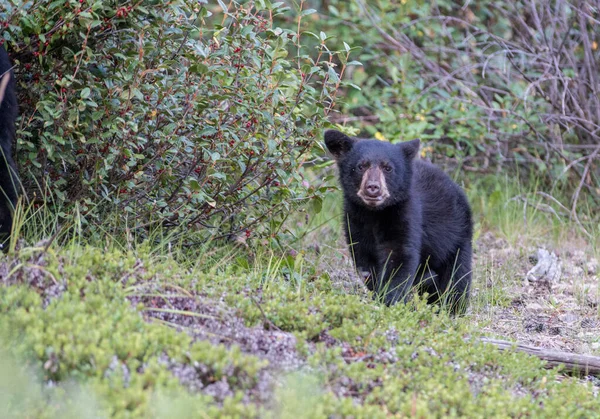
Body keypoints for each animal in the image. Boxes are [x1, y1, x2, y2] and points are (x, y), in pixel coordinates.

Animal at [324, 130, 474, 316]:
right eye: (361, 166)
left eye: (387, 168)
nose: (373, 187)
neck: (375, 213)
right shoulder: (355, 219)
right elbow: (364, 259)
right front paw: (378, 292)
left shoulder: (405, 213)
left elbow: (399, 255)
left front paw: (388, 300)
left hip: (455, 235)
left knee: (457, 274)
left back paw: (451, 307)